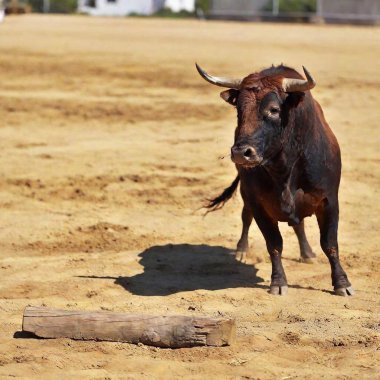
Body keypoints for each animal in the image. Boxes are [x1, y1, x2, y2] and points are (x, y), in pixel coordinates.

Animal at [196, 63, 354, 296]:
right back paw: (241, 251)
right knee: (246, 217)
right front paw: (278, 282)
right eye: (239, 110)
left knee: (299, 225)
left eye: (274, 110)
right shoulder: (258, 203)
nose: (241, 153)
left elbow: (329, 243)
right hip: (246, 194)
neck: (285, 167)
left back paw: (307, 254)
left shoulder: (329, 200)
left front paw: (342, 283)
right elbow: (274, 243)